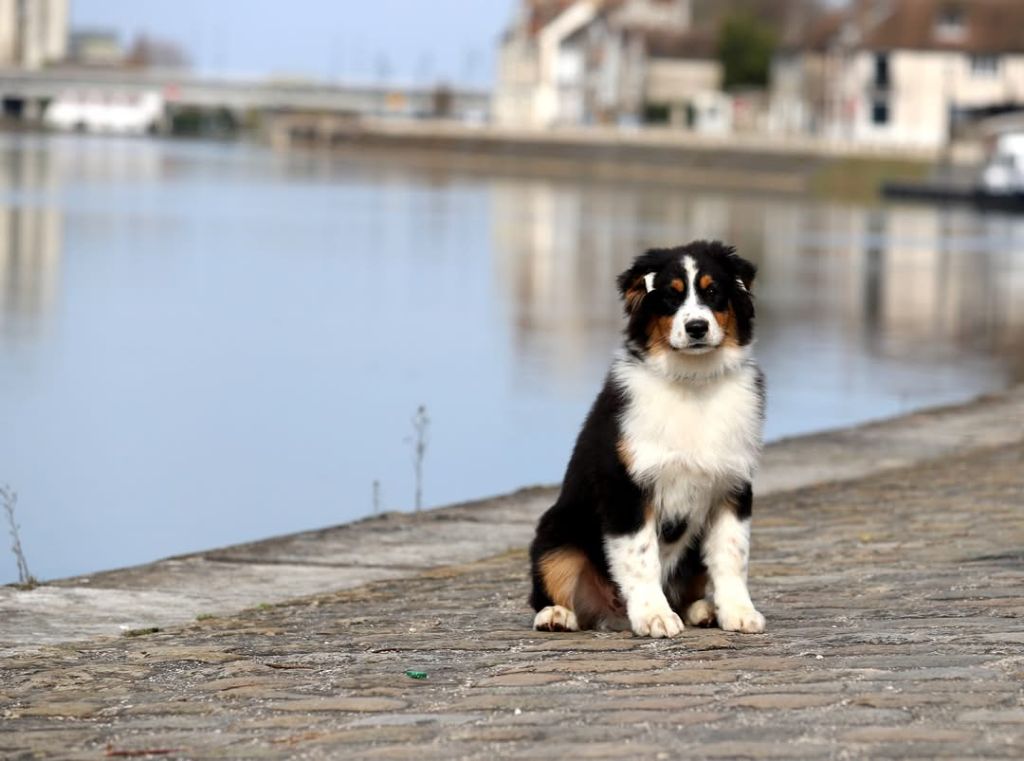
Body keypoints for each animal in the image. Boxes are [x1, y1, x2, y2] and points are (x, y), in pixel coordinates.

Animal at [532, 240, 765, 639]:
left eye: (713, 292)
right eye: (670, 297)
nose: (697, 327)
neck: (692, 381)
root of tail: (611, 614)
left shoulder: (732, 484)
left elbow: (733, 554)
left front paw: (738, 611)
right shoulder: (626, 486)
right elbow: (641, 558)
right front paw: (654, 616)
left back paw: (703, 609)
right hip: (557, 531)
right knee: (555, 584)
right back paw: (557, 615)